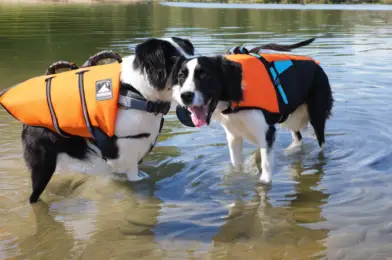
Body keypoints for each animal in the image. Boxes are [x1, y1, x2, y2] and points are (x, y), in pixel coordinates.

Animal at [172, 37, 334, 184]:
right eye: (181, 76)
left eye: (204, 74)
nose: (185, 96)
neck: (234, 92)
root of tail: (316, 65)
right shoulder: (233, 135)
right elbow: (236, 166)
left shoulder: (266, 131)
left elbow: (266, 169)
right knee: (298, 136)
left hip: (317, 115)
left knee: (321, 144)